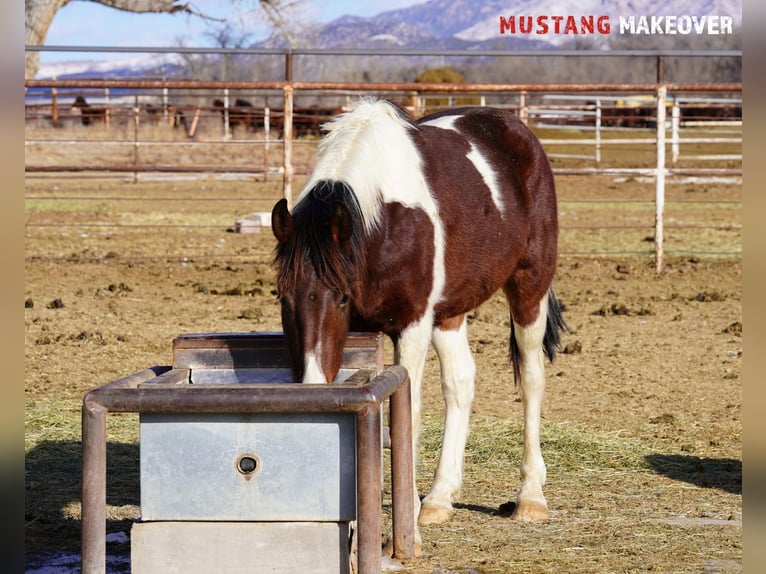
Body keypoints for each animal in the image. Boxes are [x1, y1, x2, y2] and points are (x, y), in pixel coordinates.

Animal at [272, 99, 568, 552]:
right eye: (283, 298)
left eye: (340, 297)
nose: (310, 386)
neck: (385, 218)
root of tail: (515, 128)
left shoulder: (412, 323)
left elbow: (404, 415)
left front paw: (402, 523)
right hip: (449, 314)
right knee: (460, 383)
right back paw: (440, 498)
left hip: (529, 289)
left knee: (532, 378)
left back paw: (530, 496)